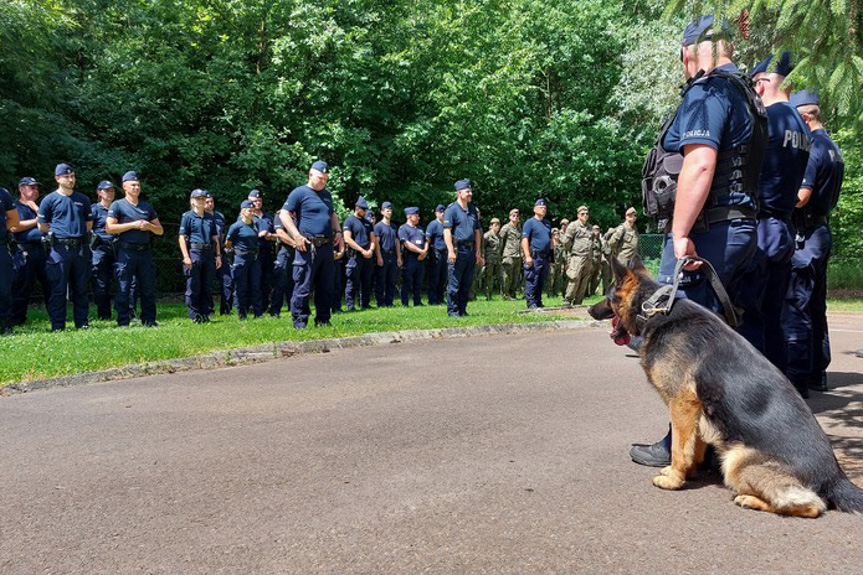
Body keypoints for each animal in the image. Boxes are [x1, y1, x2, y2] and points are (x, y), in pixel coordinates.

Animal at [592, 256, 863, 516]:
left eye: (608, 296)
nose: (590, 309)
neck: (654, 309)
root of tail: (835, 477)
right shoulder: (697, 409)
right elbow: (693, 445)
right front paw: (689, 472)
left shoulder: (681, 403)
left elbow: (680, 448)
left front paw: (673, 478)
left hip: (735, 461)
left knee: (811, 506)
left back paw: (750, 500)